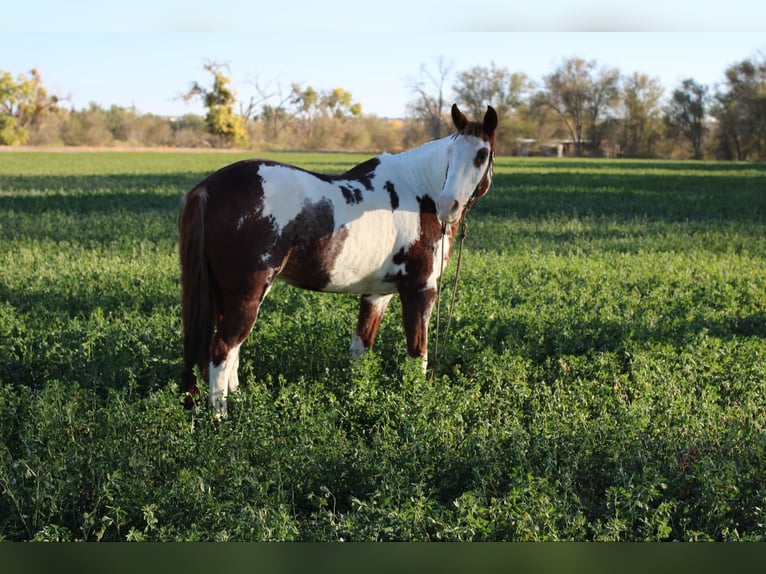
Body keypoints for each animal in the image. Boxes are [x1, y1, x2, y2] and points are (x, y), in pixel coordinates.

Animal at [179, 103, 498, 416]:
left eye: (482, 155)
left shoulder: (376, 294)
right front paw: (416, 399)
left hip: (227, 295)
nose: (448, 206)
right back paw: (220, 416)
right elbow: (417, 353)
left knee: (229, 351)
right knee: (222, 349)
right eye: (450, 153)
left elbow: (361, 347)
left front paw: (356, 393)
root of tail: (209, 187)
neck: (418, 193)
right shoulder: (420, 290)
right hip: (247, 294)